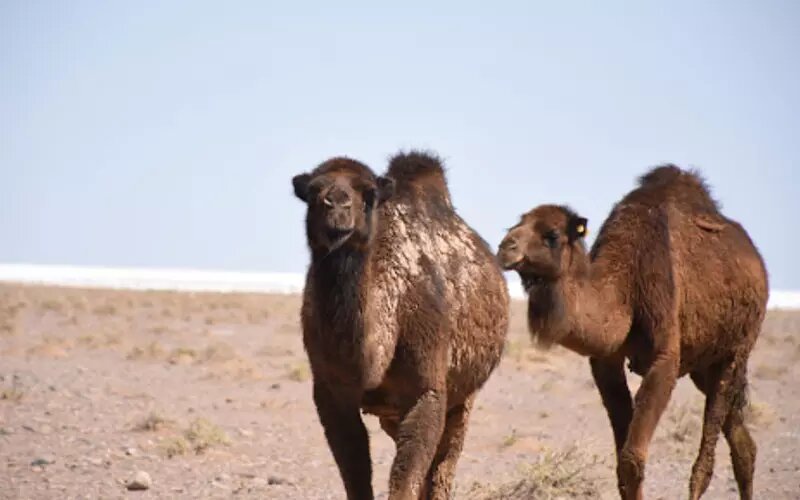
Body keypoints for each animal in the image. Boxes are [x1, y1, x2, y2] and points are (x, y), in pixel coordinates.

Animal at [292, 150, 506, 498]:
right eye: (313, 192)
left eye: (368, 194)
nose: (336, 204)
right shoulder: (330, 393)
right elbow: (356, 472)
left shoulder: (427, 389)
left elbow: (406, 477)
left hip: (466, 392)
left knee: (444, 462)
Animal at [496, 166, 764, 498]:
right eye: (515, 225)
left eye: (551, 235)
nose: (505, 247)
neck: (625, 287)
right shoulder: (605, 362)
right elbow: (621, 460)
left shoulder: (664, 355)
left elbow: (631, 459)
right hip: (704, 364)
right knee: (742, 440)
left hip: (737, 348)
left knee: (707, 453)